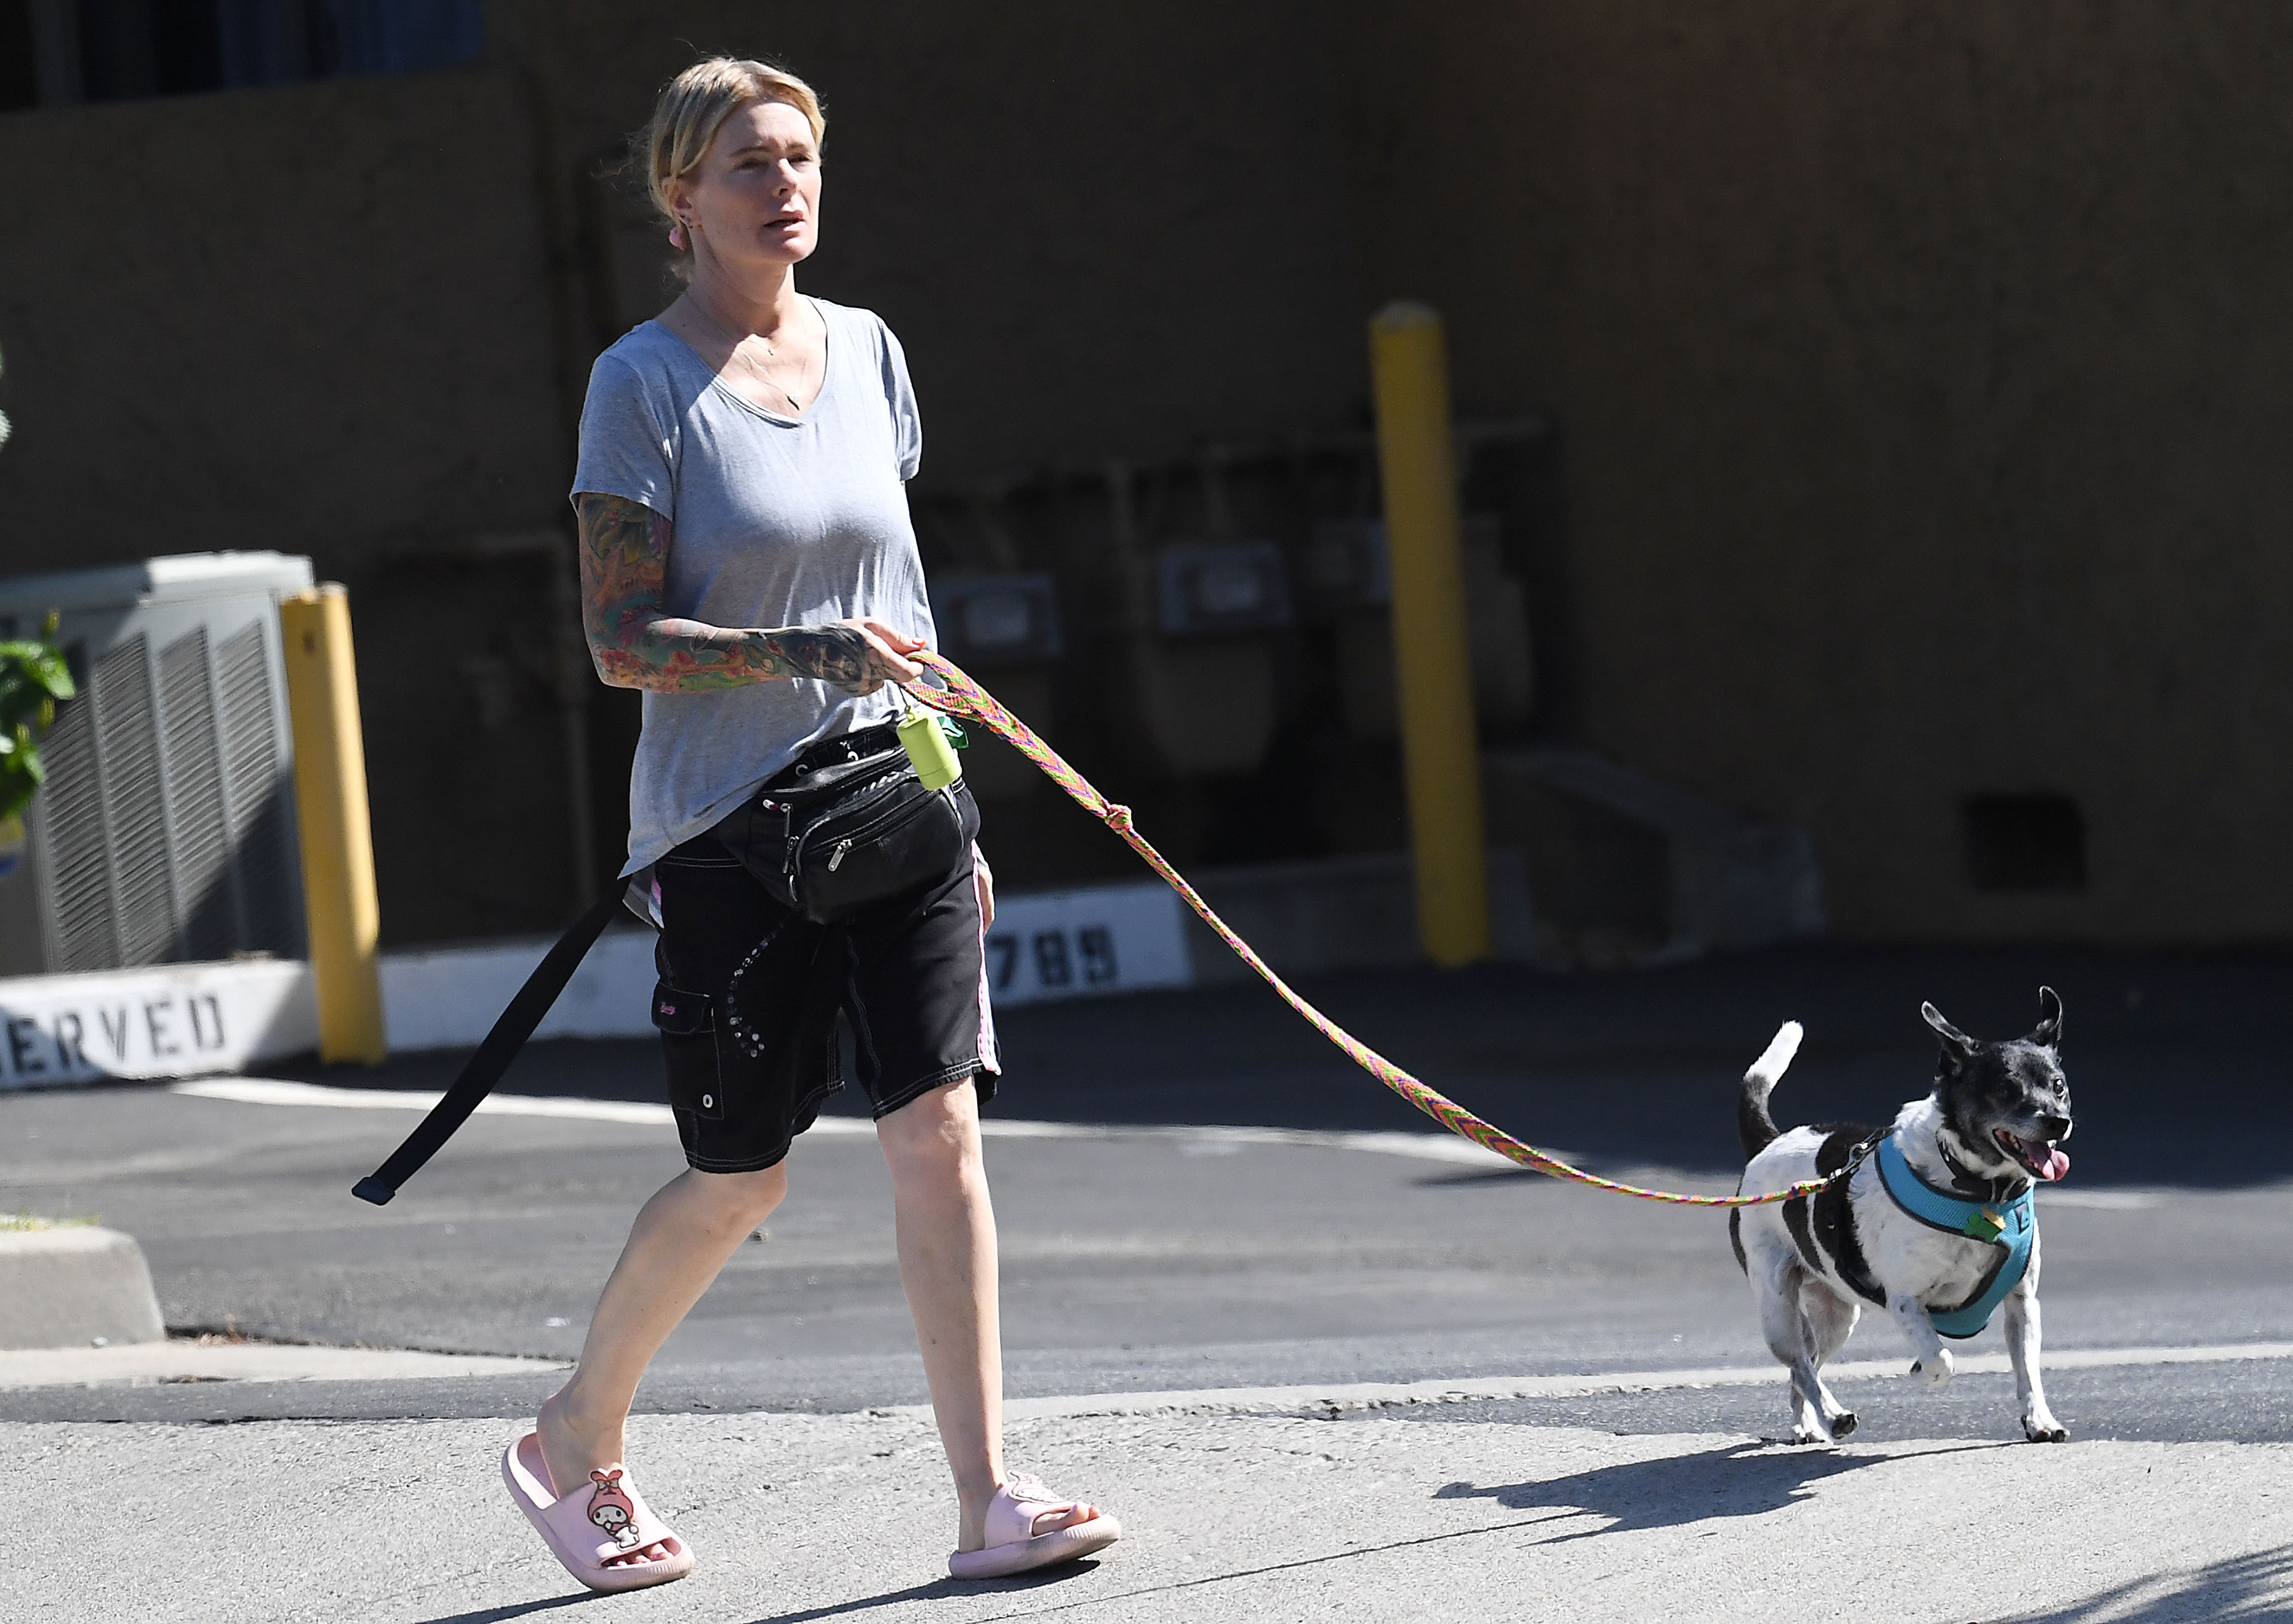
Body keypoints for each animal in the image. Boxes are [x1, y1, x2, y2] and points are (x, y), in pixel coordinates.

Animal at [1724, 990, 2073, 1449]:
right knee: (1799, 1362)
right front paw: (1922, 1373)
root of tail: (1769, 1141)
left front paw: (2040, 1421)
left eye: (2058, 1086)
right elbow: (1941, 1359)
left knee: (1808, 1363)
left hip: (1837, 1317)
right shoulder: (1907, 1303)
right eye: (2005, 1089)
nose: (2059, 1122)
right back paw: (1833, 1415)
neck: (1980, 1194)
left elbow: (2029, 1371)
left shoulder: (2022, 1302)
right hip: (1778, 1306)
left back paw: (1808, 1425)